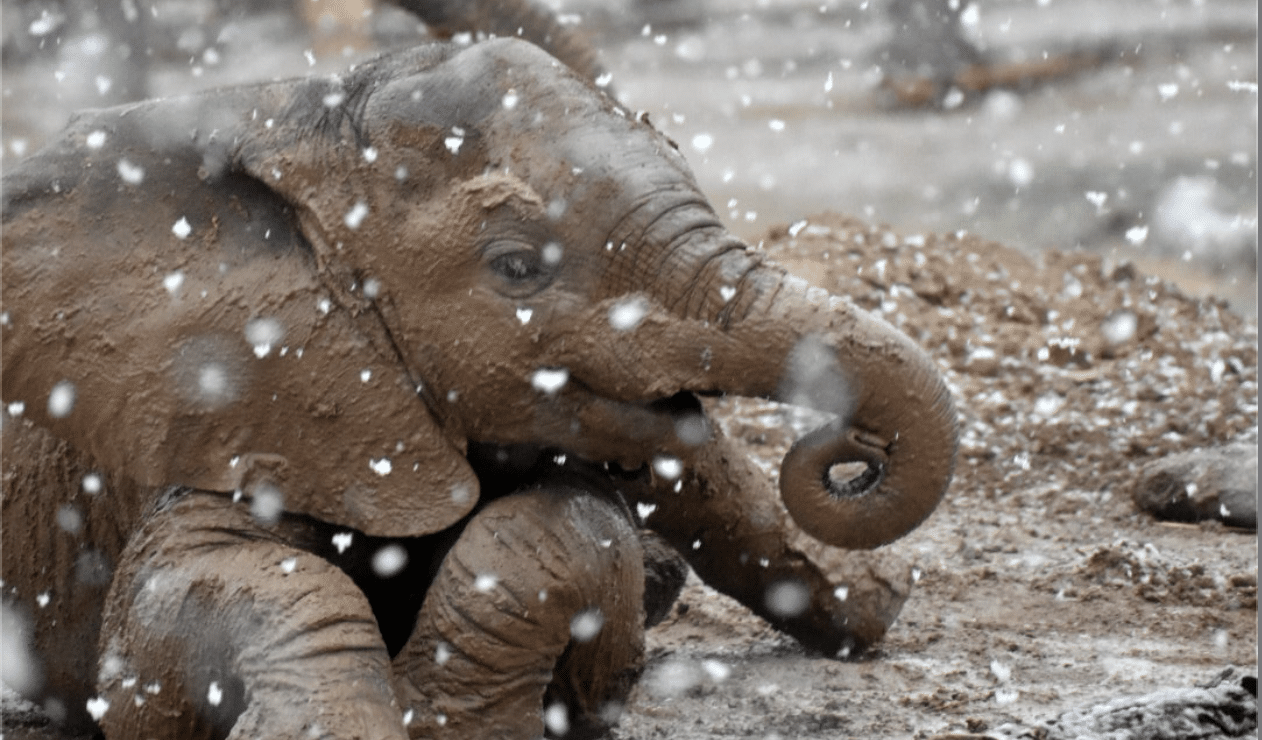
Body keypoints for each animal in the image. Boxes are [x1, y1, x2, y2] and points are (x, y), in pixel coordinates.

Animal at [1, 36, 958, 739]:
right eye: (517, 267)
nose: (858, 451)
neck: (306, 123)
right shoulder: (246, 406)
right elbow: (183, 592)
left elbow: (573, 526)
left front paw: (454, 719)